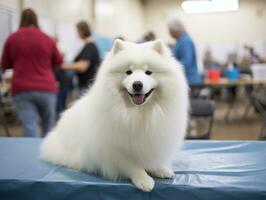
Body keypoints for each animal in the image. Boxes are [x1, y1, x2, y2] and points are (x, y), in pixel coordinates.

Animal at [40, 39, 188, 192]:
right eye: (128, 72)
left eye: (148, 72)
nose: (137, 84)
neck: (138, 113)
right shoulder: (117, 149)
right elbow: (132, 166)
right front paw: (144, 180)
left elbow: (153, 159)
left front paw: (160, 169)